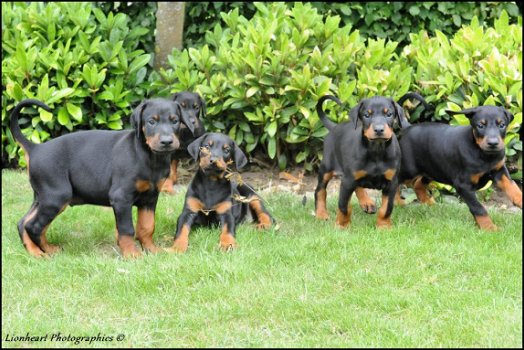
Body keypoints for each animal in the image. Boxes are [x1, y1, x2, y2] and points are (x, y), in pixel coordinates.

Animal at [9, 98, 185, 258]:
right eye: (151, 122)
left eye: (175, 121)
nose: (167, 142)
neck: (149, 156)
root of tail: (35, 148)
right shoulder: (121, 197)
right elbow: (126, 229)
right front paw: (132, 254)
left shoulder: (150, 198)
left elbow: (147, 226)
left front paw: (152, 250)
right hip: (56, 196)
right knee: (33, 226)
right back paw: (42, 252)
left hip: (43, 198)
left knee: (23, 223)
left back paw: (40, 250)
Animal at [314, 94, 408, 228]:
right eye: (367, 115)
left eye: (389, 114)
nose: (379, 130)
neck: (376, 150)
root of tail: (334, 127)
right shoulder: (347, 181)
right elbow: (343, 206)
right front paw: (341, 226)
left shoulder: (391, 182)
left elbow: (387, 208)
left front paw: (384, 226)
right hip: (327, 167)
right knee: (320, 190)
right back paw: (321, 214)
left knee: (358, 187)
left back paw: (367, 202)